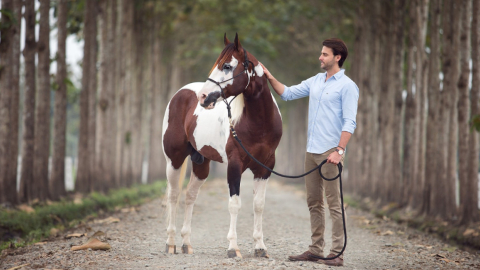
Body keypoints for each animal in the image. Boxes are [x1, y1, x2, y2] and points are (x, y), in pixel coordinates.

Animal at [162, 32, 282, 258]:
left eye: (227, 66)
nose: (202, 96)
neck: (258, 124)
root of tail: (181, 94)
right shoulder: (235, 165)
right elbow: (234, 204)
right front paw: (233, 248)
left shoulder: (265, 168)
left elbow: (259, 205)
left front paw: (260, 247)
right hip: (174, 159)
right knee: (174, 195)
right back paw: (171, 243)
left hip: (201, 163)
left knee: (190, 196)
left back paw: (186, 244)